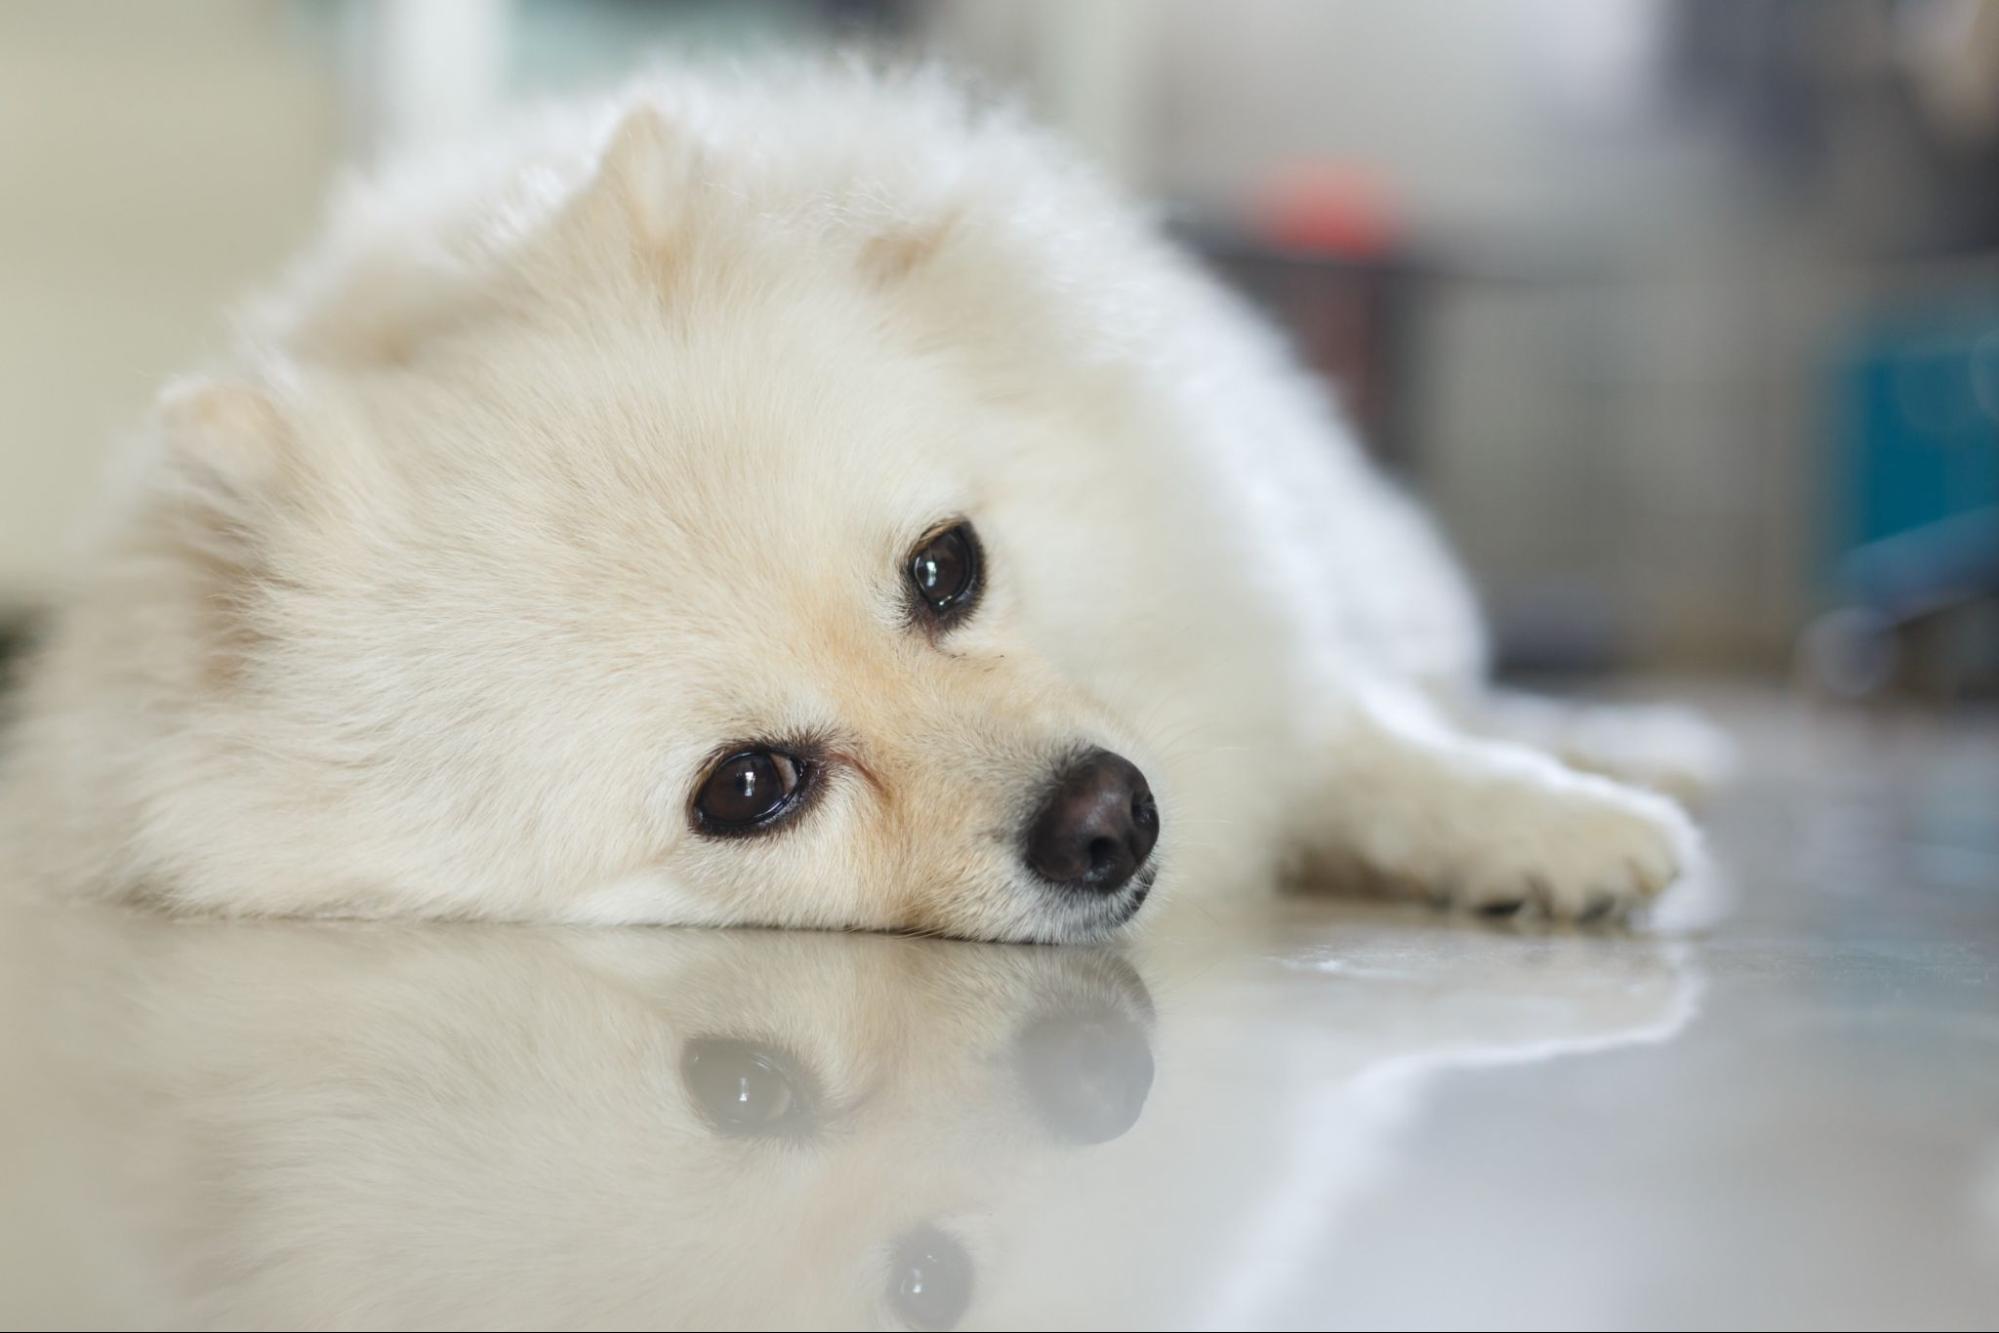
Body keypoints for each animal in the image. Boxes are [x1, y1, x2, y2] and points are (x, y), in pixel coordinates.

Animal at [0, 59, 1719, 939]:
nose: (1108, 814)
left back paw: (1628, 743)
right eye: (750, 788)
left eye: (945, 571)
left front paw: (1539, 824)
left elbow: (1372, 738)